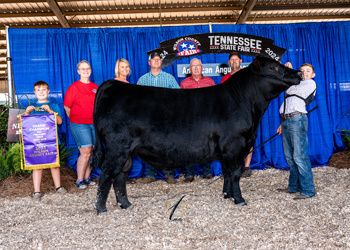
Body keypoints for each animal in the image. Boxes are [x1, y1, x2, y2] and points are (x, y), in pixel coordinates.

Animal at [91, 55, 302, 214]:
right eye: (273, 67)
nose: (299, 72)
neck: (246, 103)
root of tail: (113, 84)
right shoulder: (235, 145)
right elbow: (235, 173)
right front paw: (239, 199)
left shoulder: (228, 150)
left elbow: (226, 173)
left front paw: (227, 195)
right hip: (117, 147)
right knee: (107, 174)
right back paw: (101, 209)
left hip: (126, 151)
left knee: (120, 176)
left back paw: (126, 205)